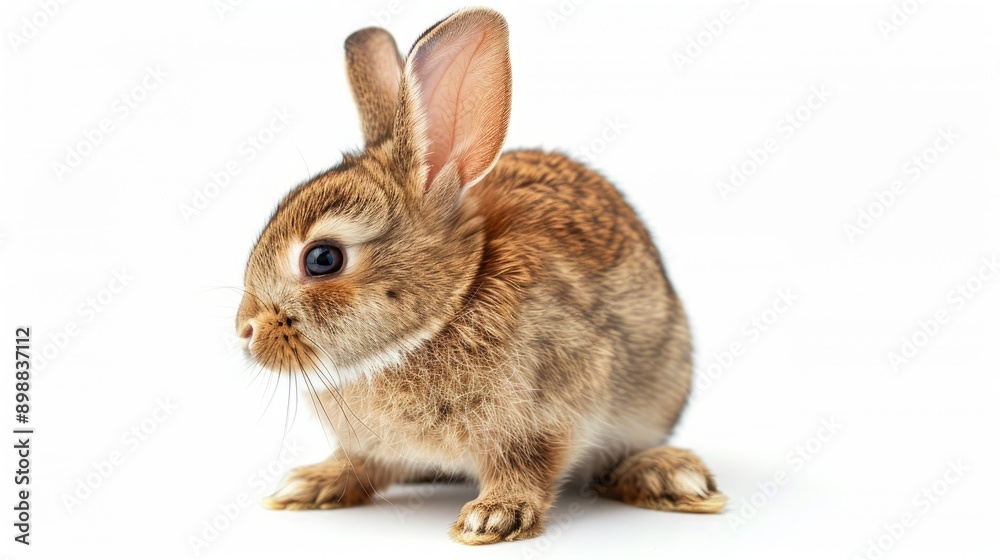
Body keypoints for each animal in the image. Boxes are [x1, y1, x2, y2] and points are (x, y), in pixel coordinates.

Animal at [236, 7, 725, 545]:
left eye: (323, 259)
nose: (245, 331)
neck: (452, 304)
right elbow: (364, 464)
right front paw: (311, 484)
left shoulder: (550, 413)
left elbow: (530, 465)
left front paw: (492, 517)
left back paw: (673, 476)